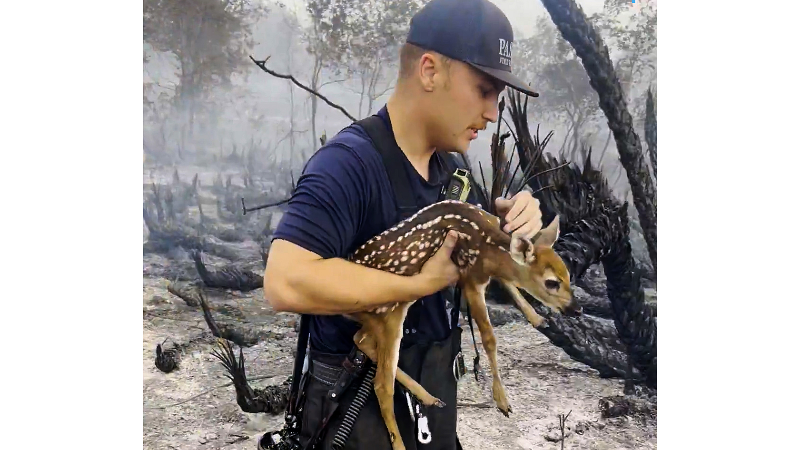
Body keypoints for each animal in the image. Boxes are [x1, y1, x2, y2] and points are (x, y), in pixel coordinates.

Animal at [343, 198, 582, 450]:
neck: (489, 244)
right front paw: (502, 401)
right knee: (381, 384)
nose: (577, 309)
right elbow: (489, 337)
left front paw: (537, 318)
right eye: (551, 282)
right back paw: (401, 442)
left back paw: (430, 397)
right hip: (391, 313)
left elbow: (508, 283)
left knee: (360, 339)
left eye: (568, 275)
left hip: (379, 318)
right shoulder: (470, 277)